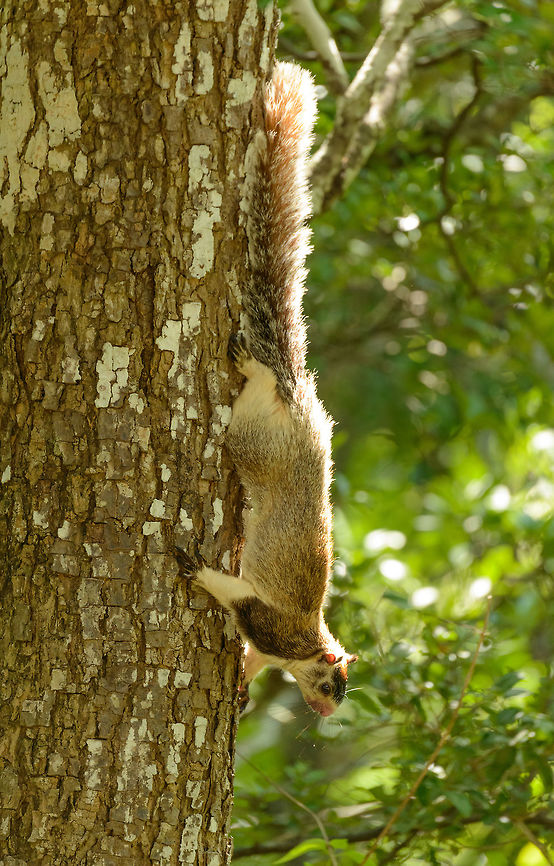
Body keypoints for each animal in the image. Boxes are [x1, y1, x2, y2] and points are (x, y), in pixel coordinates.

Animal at [177, 62, 357, 717]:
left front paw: (242, 688)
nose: (327, 714)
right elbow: (237, 599)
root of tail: (297, 392)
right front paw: (198, 572)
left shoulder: (269, 644)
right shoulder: (273, 623)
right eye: (332, 682)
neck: (307, 644)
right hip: (254, 441)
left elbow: (252, 656)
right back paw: (252, 366)